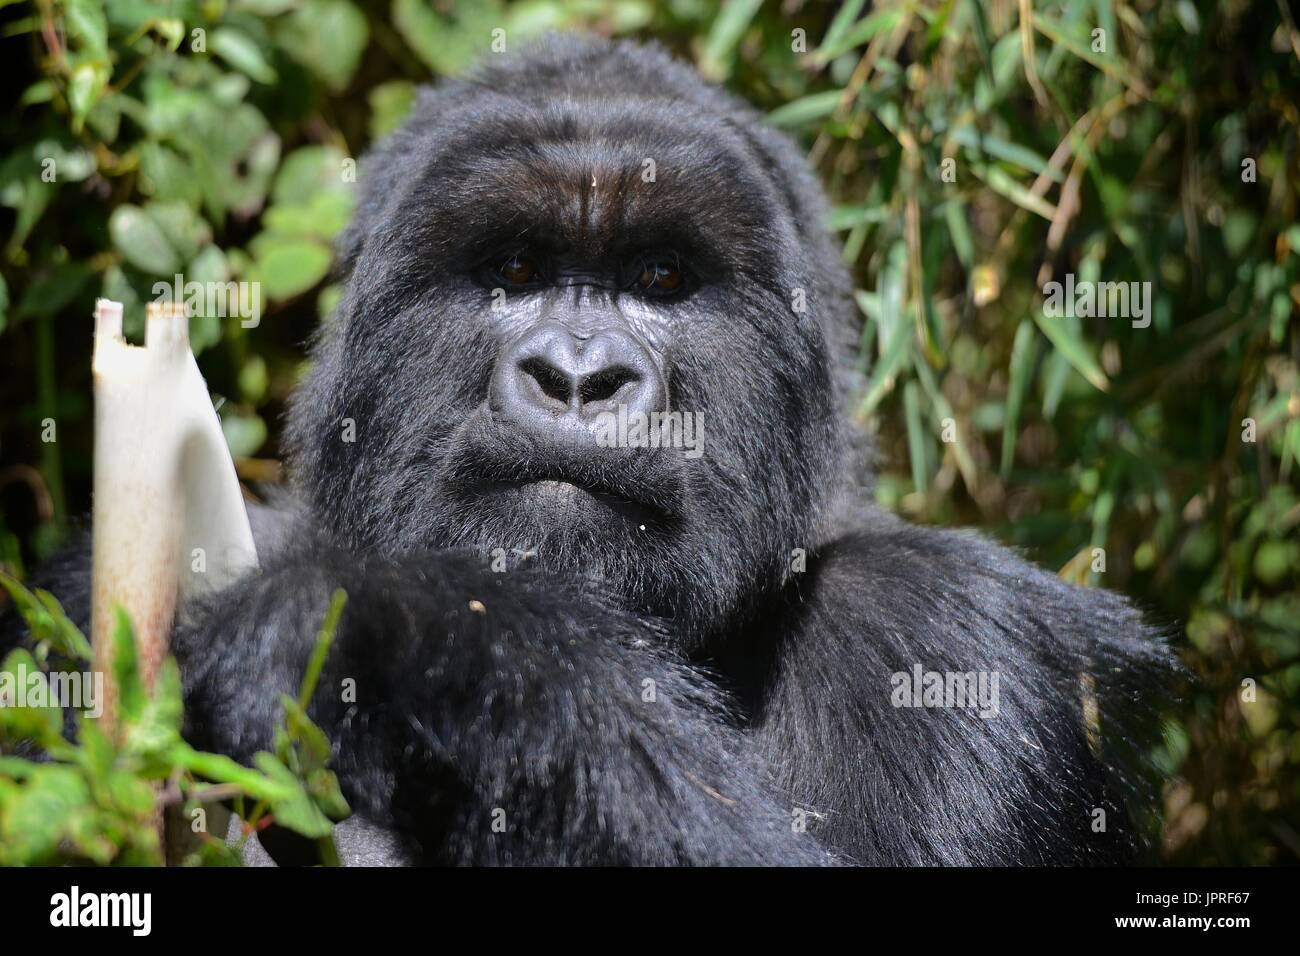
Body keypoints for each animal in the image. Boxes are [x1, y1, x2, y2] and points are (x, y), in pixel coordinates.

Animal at [2, 35, 1180, 868]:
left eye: (661, 278)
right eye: (516, 268)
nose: (578, 375)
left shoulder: (943, 631)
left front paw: (394, 630)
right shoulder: (76, 589)